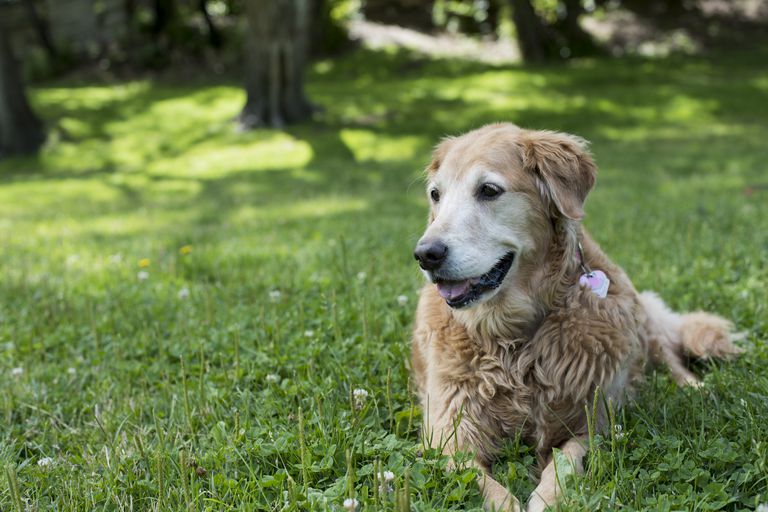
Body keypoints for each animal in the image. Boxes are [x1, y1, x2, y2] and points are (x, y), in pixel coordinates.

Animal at [412, 122, 740, 510]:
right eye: (436, 195)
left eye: (489, 190)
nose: (425, 254)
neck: (514, 340)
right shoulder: (448, 434)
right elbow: (484, 484)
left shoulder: (593, 419)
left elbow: (564, 462)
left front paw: (547, 497)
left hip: (639, 320)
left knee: (669, 359)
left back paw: (698, 390)